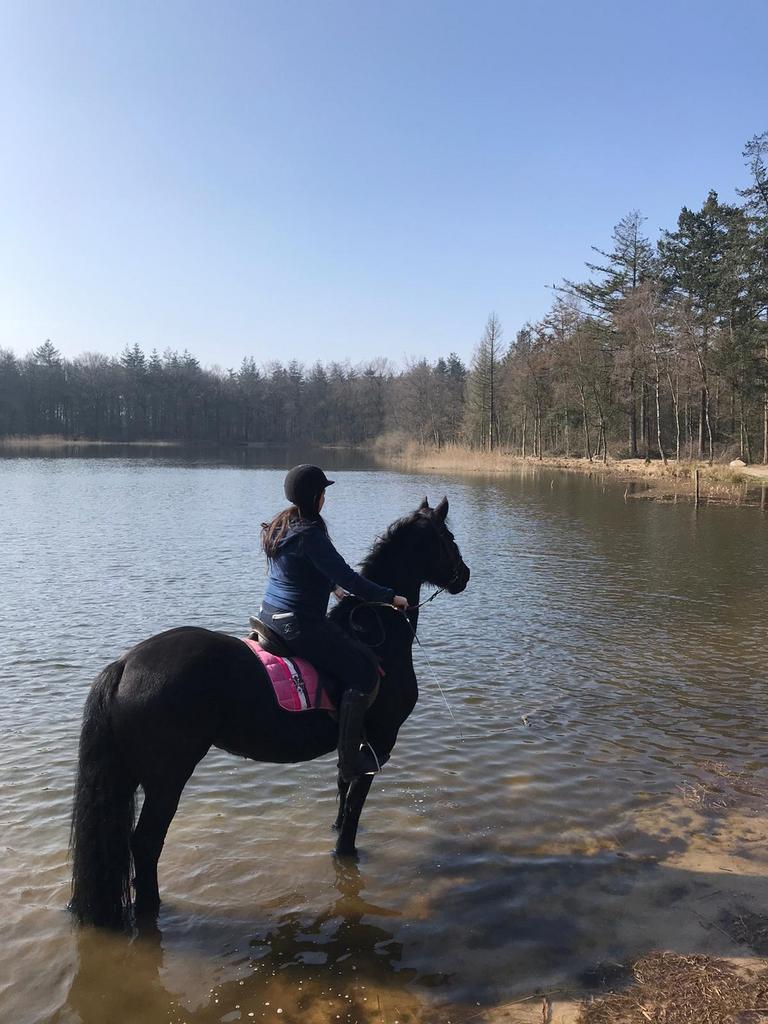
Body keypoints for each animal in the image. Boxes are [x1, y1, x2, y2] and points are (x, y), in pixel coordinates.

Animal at [69, 496, 470, 929]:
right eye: (448, 538)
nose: (464, 576)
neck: (377, 634)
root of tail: (125, 663)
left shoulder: (353, 745)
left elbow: (343, 792)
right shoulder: (377, 742)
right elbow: (353, 809)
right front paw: (345, 853)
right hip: (166, 779)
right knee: (145, 844)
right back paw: (150, 910)